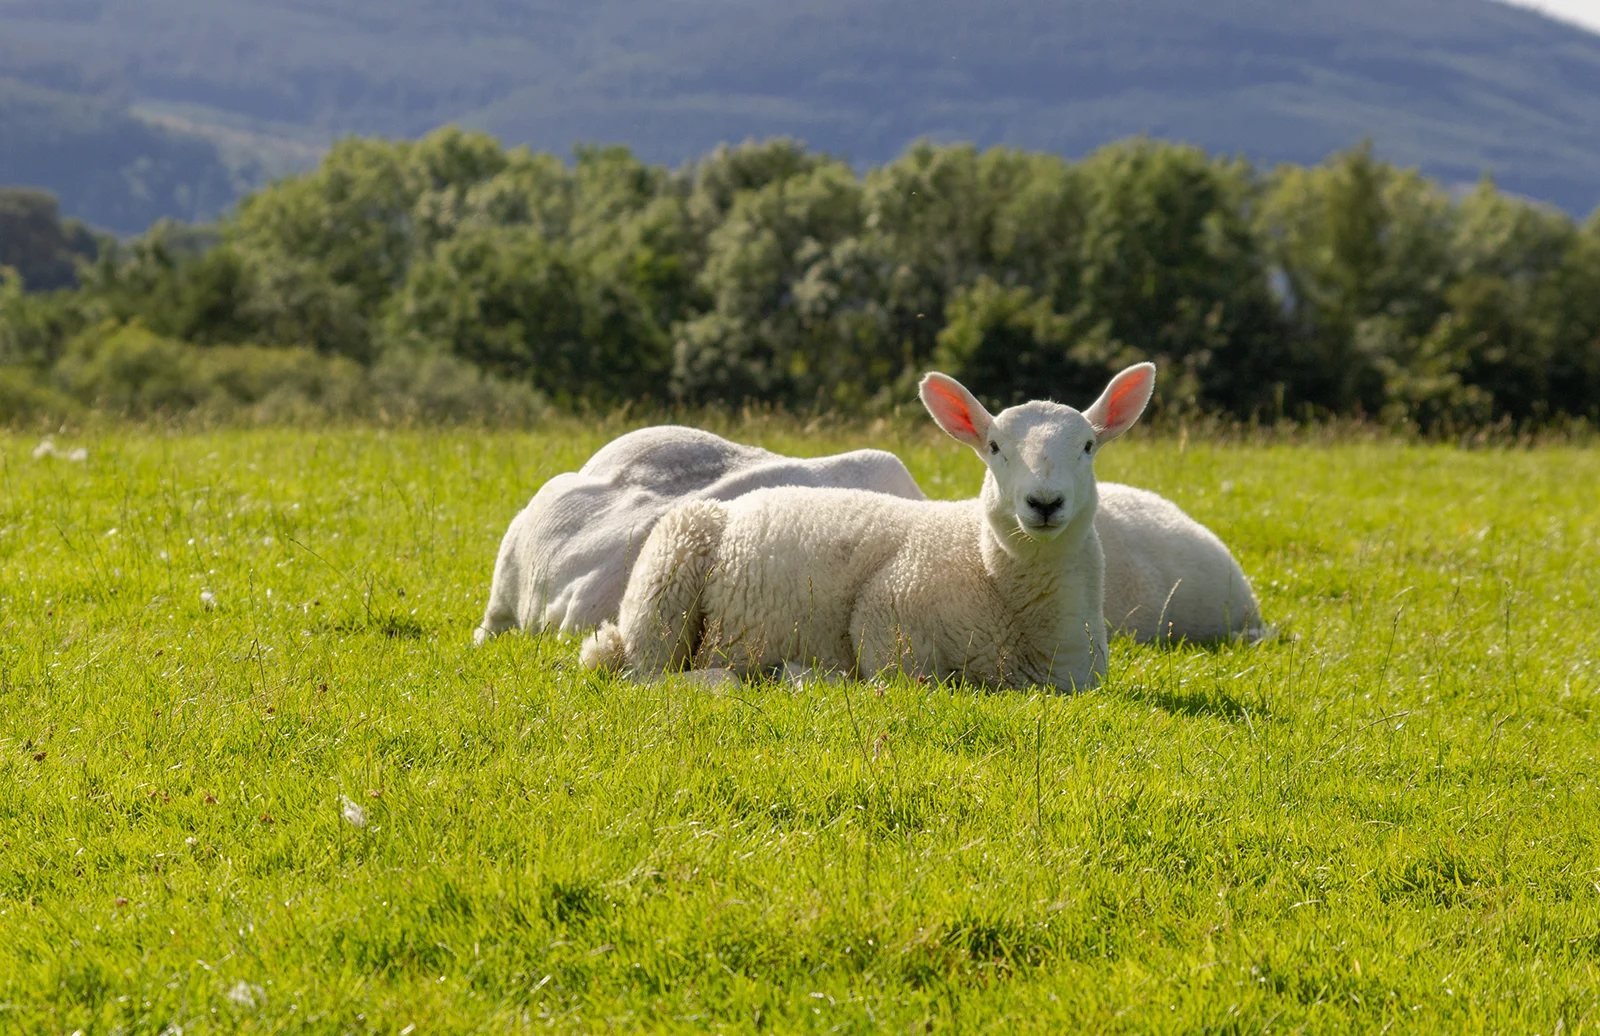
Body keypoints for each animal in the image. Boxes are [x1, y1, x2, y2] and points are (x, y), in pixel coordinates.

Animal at [582, 362, 1158, 687]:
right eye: (995, 447)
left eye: (1088, 446)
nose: (1044, 502)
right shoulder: (889, 623)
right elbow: (907, 682)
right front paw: (814, 677)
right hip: (667, 579)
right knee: (652, 677)